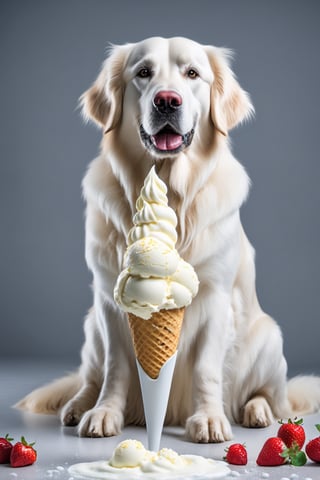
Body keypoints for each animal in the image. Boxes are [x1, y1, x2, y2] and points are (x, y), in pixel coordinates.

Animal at [17, 36, 320, 442]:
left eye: (192, 73)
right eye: (143, 73)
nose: (167, 100)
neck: (170, 188)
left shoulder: (214, 298)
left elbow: (206, 368)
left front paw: (209, 418)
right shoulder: (110, 303)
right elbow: (116, 368)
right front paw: (105, 413)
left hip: (269, 339)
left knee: (271, 396)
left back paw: (257, 411)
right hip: (91, 326)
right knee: (89, 377)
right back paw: (79, 405)